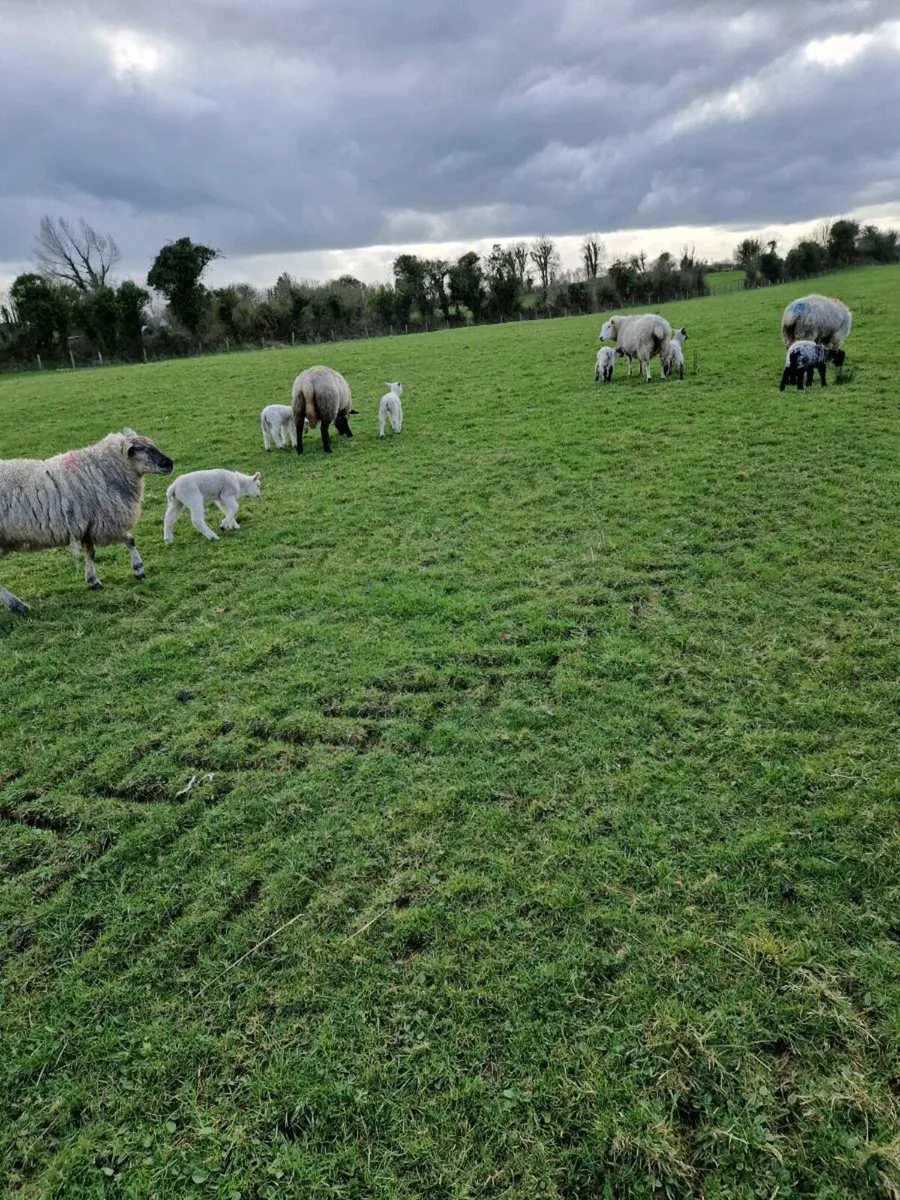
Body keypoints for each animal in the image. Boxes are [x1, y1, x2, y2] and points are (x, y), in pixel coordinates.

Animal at [0, 428, 173, 613]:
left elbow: (91, 552)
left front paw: (92, 581)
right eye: (139, 449)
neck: (101, 469)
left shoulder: (88, 525)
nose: (169, 463)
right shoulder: (107, 521)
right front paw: (138, 569)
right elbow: (130, 540)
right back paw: (17, 605)